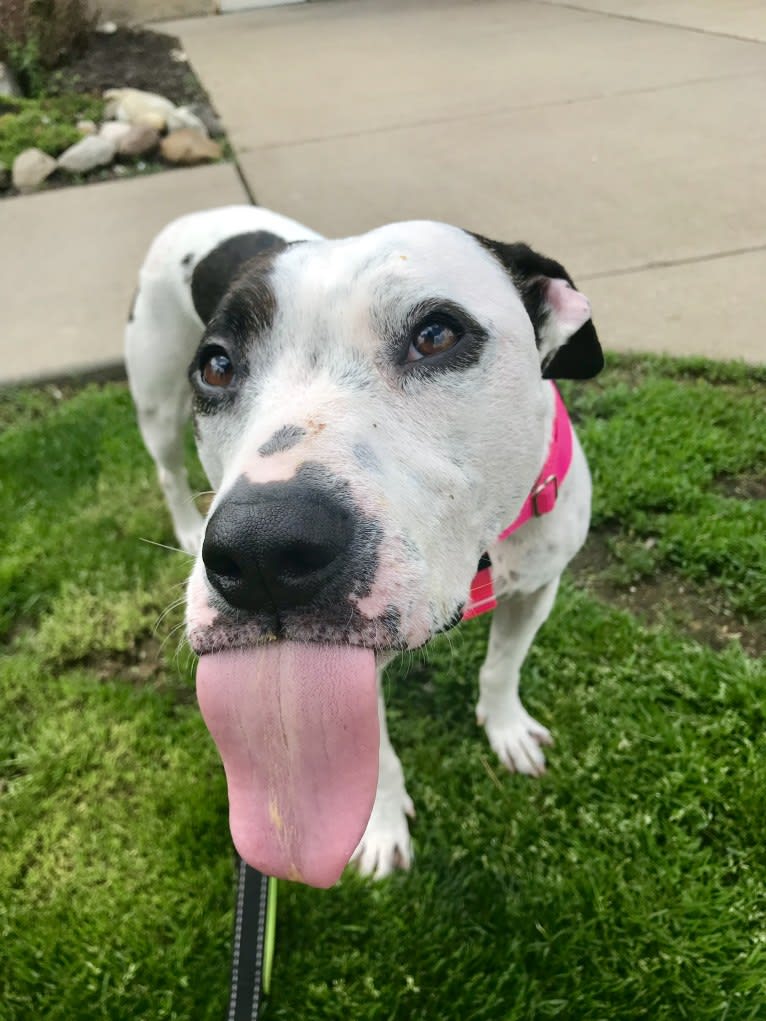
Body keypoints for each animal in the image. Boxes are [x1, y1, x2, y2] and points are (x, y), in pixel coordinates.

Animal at [126, 205, 604, 886]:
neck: (483, 562)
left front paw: (506, 727)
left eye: (437, 334)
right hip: (157, 402)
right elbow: (370, 756)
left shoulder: (538, 587)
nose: (260, 552)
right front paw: (380, 831)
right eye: (216, 367)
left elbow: (502, 666)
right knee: (166, 470)